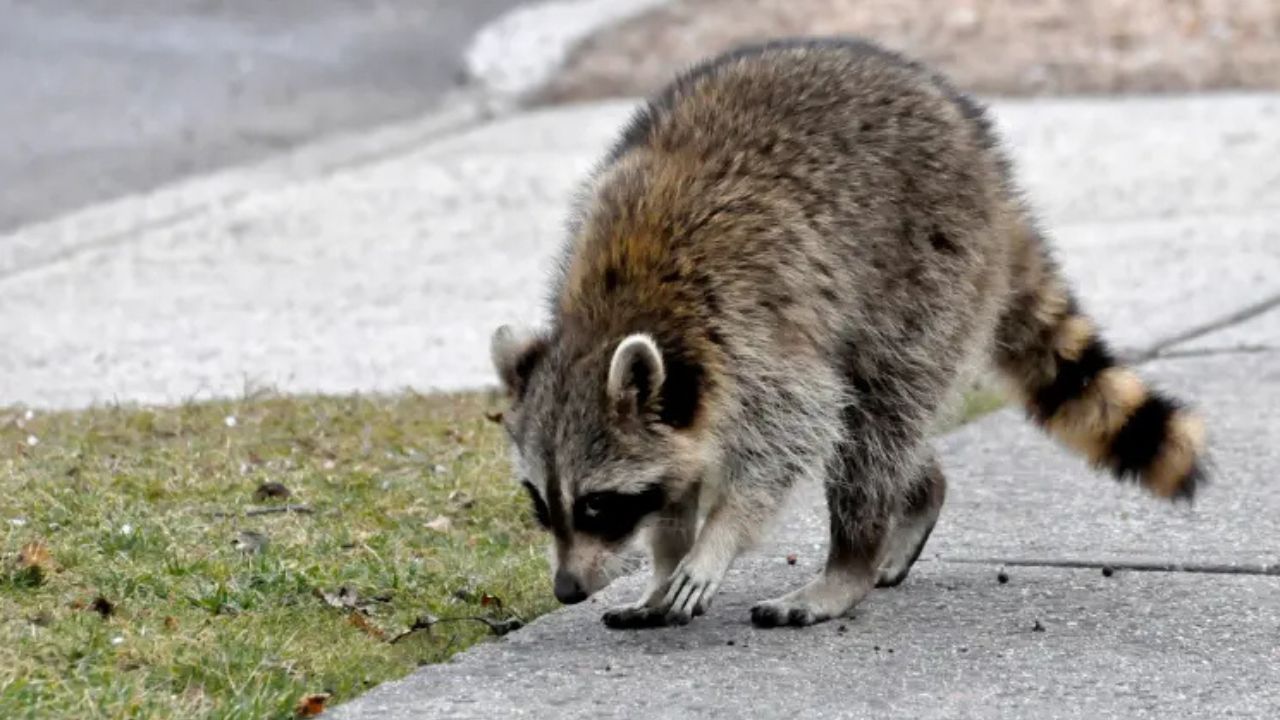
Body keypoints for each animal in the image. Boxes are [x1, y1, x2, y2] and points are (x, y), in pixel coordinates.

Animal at [489, 38, 1206, 629]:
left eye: (597, 506)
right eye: (541, 505)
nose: (567, 590)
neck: (617, 309)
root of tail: (984, 160)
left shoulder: (754, 336)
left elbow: (794, 430)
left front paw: (717, 537)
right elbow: (679, 481)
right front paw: (664, 562)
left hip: (927, 268)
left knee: (875, 421)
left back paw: (849, 562)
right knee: (886, 429)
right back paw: (917, 494)